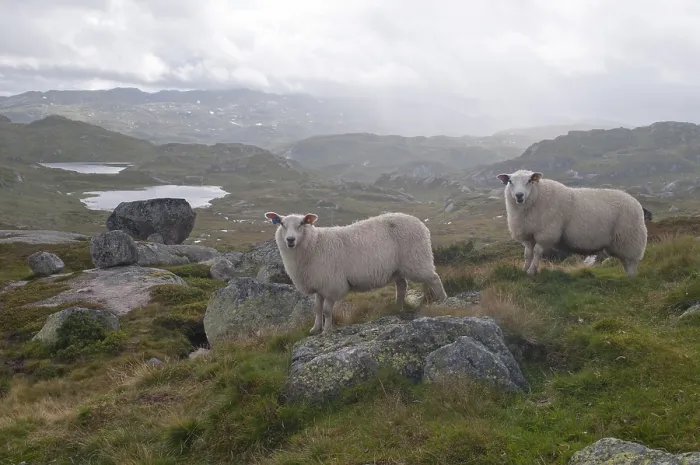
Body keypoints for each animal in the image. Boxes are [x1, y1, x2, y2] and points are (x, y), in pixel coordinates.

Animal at [264, 211, 448, 335]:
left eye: (302, 223)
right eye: (281, 224)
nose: (290, 240)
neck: (314, 244)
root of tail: (420, 223)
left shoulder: (331, 284)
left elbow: (327, 311)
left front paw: (327, 330)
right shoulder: (319, 284)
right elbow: (317, 309)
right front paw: (315, 328)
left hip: (416, 260)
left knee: (434, 278)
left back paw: (442, 300)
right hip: (398, 268)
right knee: (402, 286)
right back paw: (398, 307)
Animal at [496, 169, 647, 277]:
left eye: (529, 180)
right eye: (510, 181)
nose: (519, 195)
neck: (537, 197)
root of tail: (636, 203)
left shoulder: (546, 233)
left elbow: (537, 252)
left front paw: (532, 271)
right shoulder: (528, 235)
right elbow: (528, 254)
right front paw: (524, 269)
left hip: (630, 238)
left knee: (632, 261)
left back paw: (631, 277)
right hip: (620, 242)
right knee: (625, 261)